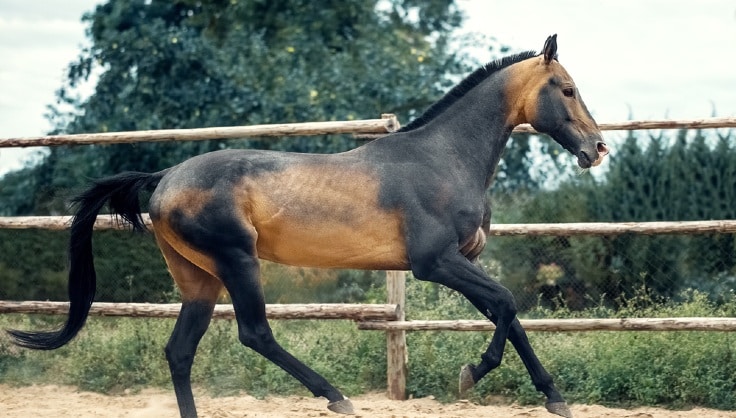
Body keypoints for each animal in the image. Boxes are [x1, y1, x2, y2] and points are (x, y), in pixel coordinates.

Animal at [8, 35, 608, 418]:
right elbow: (507, 304)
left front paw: (554, 398)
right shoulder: (435, 262)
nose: (597, 149)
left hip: (198, 281)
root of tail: (164, 179)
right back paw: (337, 397)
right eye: (567, 88)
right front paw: (472, 374)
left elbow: (509, 314)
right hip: (237, 262)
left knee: (179, 351)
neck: (443, 159)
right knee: (255, 334)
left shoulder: (464, 262)